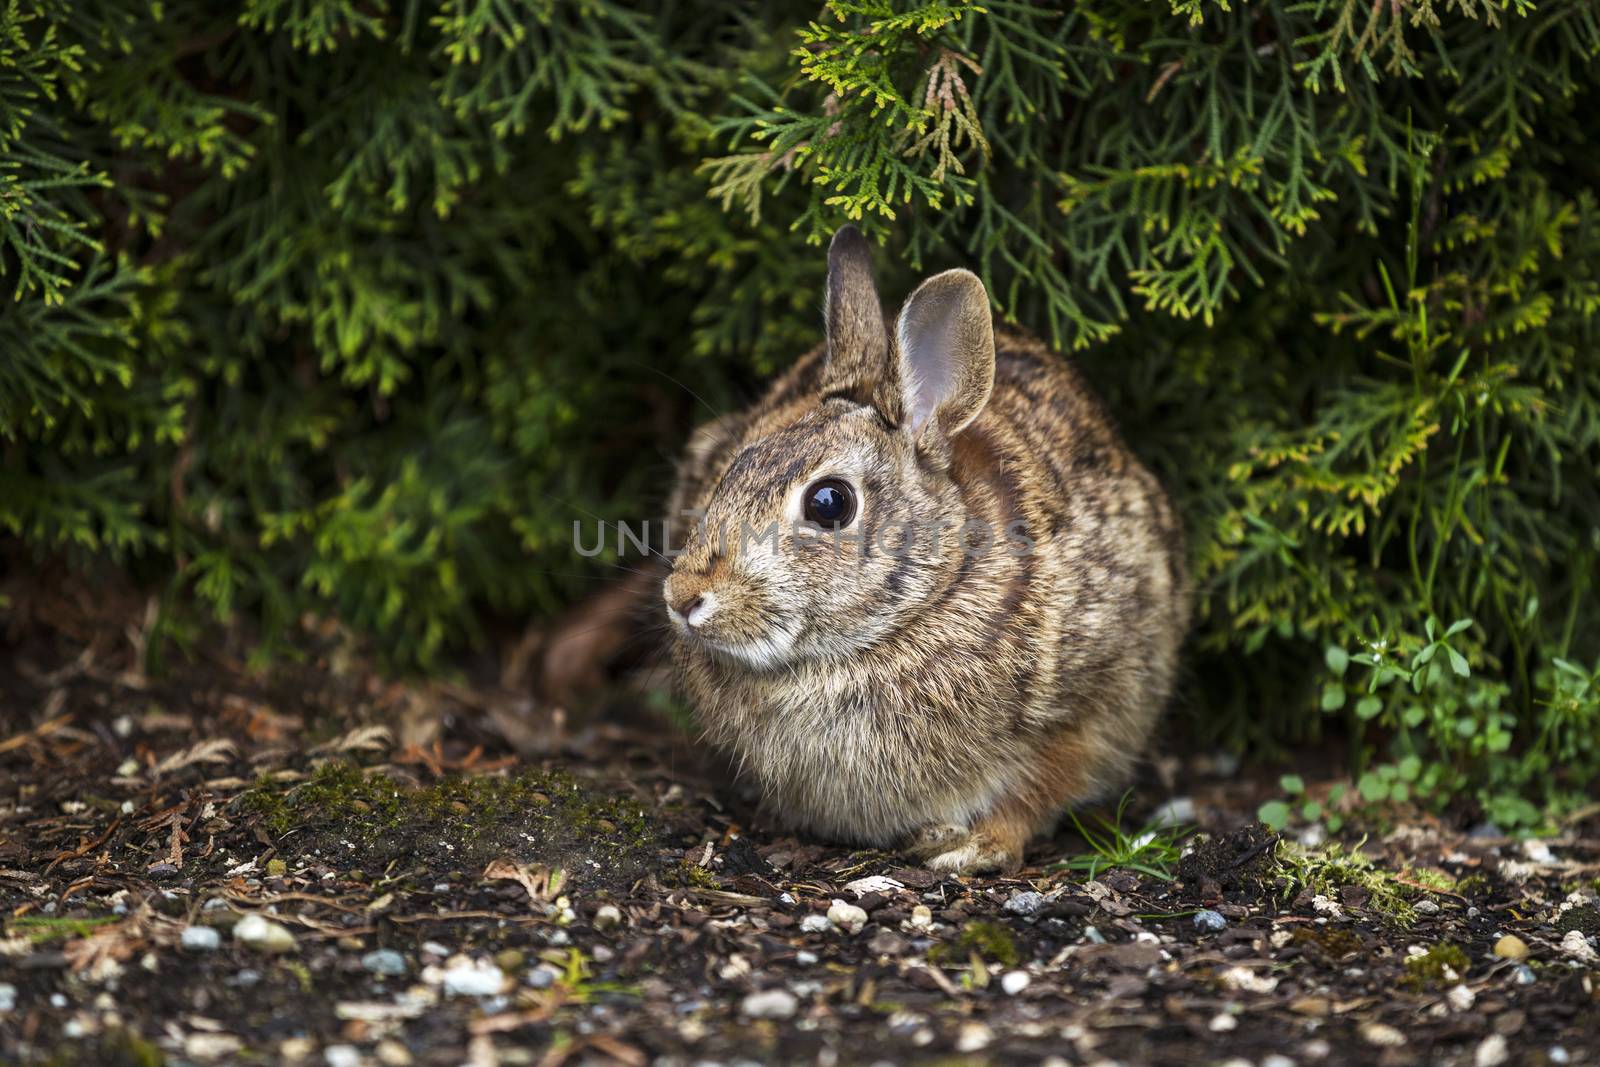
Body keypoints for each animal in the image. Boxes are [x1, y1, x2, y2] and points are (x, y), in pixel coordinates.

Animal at [652, 230, 1190, 870]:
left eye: (830, 503)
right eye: (735, 464)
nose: (683, 597)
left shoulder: (1089, 709)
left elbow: (1037, 791)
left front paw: (976, 847)